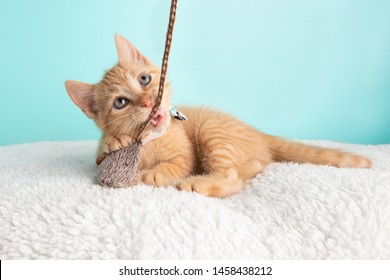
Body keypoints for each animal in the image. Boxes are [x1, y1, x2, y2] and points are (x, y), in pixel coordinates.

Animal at [64, 34, 372, 198]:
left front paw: (154, 173)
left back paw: (198, 183)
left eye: (144, 79)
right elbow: (101, 155)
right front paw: (113, 142)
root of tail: (259, 134)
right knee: (252, 167)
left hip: (212, 132)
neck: (149, 141)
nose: (149, 100)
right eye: (121, 102)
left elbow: (177, 164)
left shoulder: (185, 155)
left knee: (232, 175)